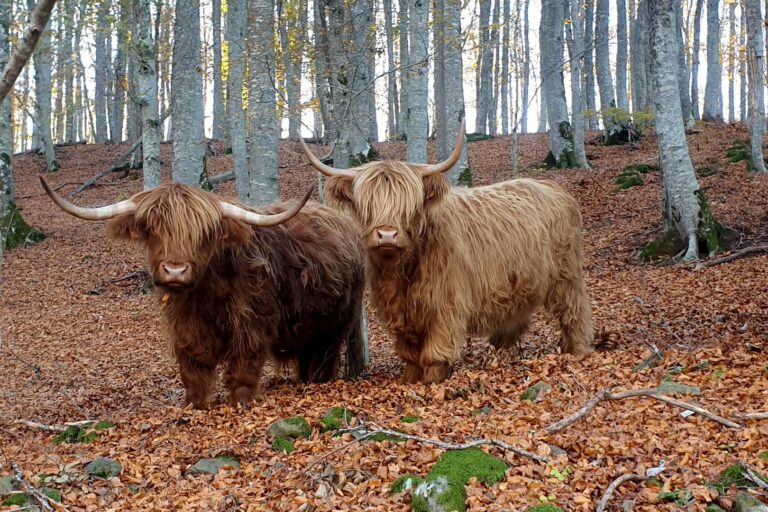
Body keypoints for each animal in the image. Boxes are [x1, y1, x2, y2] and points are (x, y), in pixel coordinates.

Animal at [40, 178, 366, 409]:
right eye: (152, 229)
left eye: (202, 233)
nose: (175, 270)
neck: (205, 295)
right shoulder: (184, 327)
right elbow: (193, 372)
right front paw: (194, 406)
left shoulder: (252, 323)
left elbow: (242, 370)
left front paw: (242, 403)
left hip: (334, 326)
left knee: (323, 359)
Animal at [299, 120, 594, 384]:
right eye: (367, 203)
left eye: (409, 204)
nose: (387, 235)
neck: (400, 272)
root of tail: (553, 188)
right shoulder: (401, 313)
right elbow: (409, 355)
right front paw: (408, 381)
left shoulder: (446, 305)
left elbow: (433, 356)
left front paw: (430, 383)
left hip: (566, 276)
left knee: (575, 314)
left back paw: (577, 352)